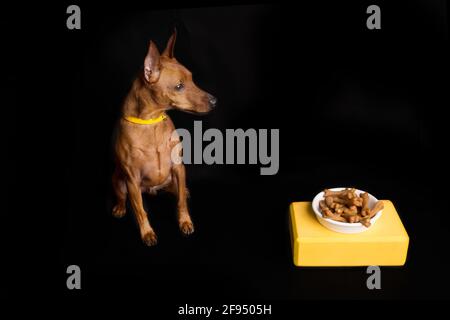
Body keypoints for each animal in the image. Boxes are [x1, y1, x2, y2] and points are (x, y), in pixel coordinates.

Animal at [113, 29, 217, 245]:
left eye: (192, 79)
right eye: (179, 86)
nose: (215, 101)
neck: (152, 122)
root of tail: (152, 190)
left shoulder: (178, 167)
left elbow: (181, 203)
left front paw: (185, 222)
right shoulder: (132, 180)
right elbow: (140, 210)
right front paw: (147, 233)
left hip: (172, 178)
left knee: (178, 191)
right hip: (119, 180)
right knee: (122, 197)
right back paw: (119, 207)